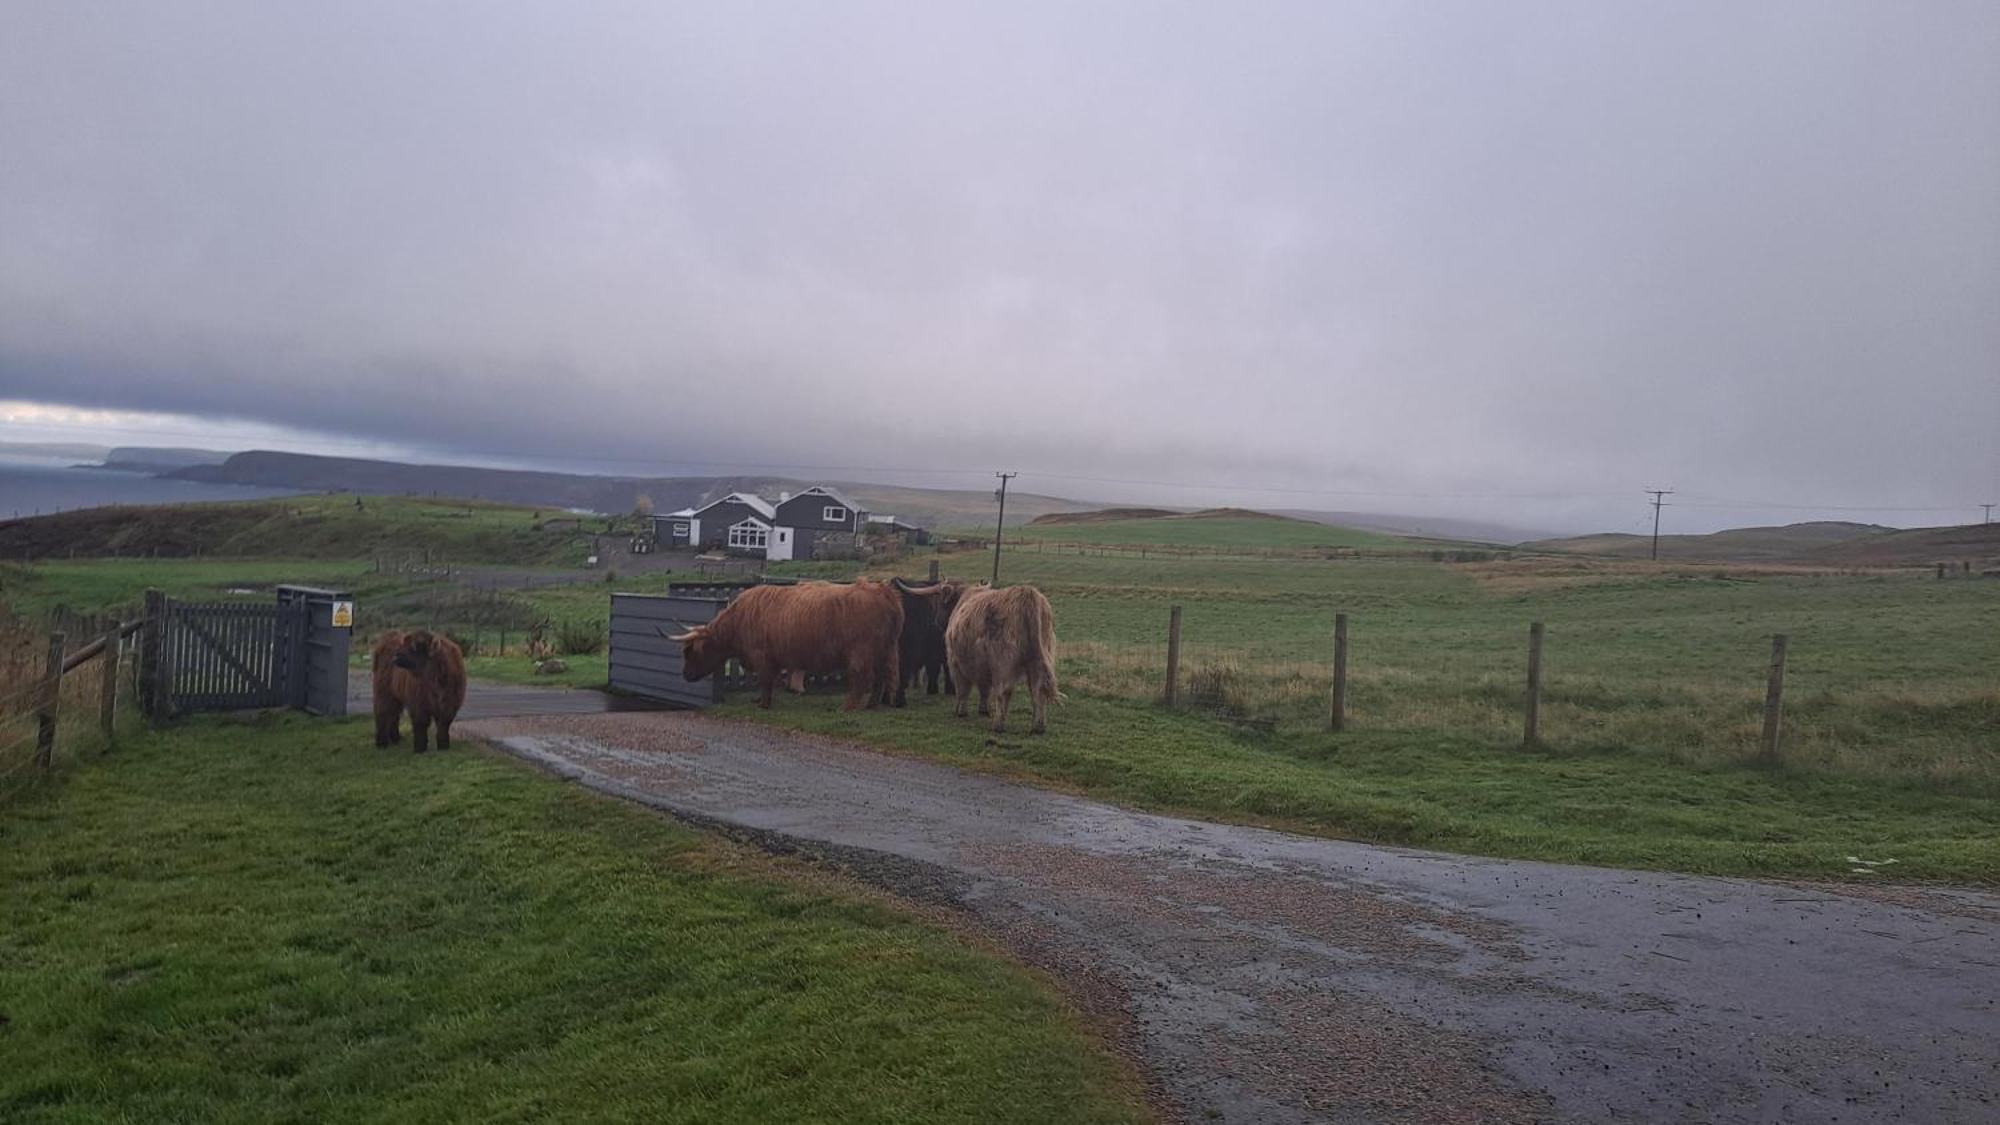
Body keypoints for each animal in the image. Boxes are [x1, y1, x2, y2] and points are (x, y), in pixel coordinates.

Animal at [668, 576, 904, 708]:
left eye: (690, 652)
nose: (685, 674)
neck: (738, 621)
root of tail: (883, 591)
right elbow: (768, 681)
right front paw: (761, 700)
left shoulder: (762, 657)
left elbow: (765, 681)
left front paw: (763, 705)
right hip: (885, 650)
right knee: (881, 678)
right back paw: (871, 705)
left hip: (861, 653)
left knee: (862, 678)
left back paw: (848, 707)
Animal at [940, 580, 1056, 732]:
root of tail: (1027, 593)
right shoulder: (982, 667)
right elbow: (984, 688)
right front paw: (983, 709)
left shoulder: (955, 662)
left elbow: (962, 689)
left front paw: (961, 711)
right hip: (1038, 659)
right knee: (1038, 690)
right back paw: (1038, 727)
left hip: (1003, 662)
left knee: (1004, 691)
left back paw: (998, 725)